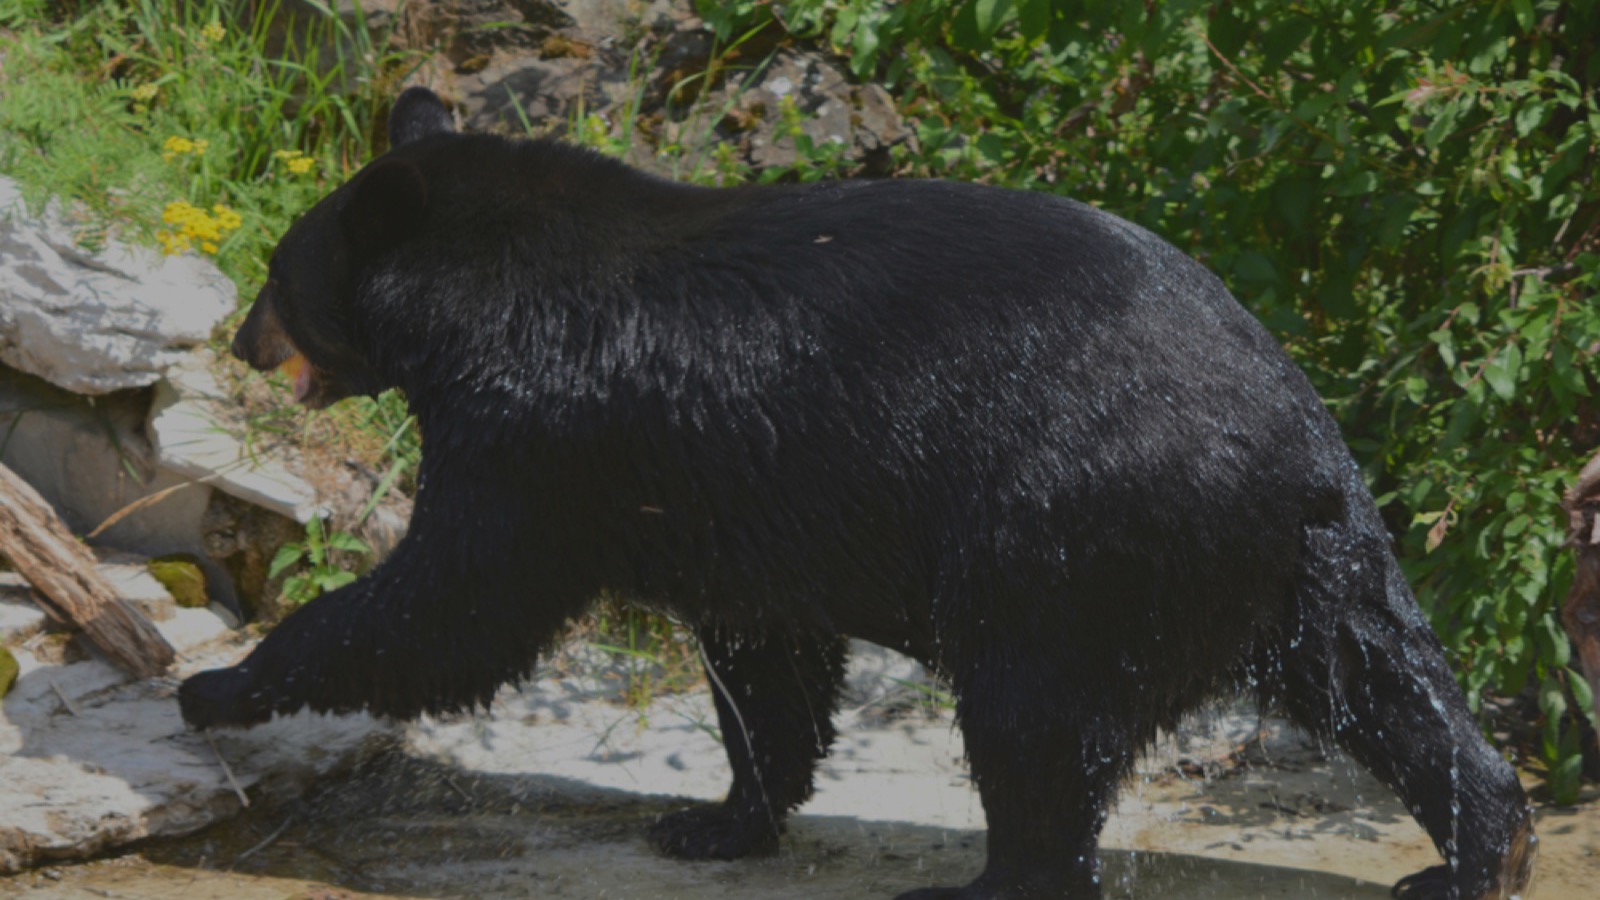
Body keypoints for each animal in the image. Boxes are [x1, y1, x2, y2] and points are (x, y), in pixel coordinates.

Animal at [180, 87, 1534, 899]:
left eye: (278, 276)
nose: (237, 337)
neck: (475, 296)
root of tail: (1294, 451)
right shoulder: (727, 495)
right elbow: (764, 658)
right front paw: (718, 819)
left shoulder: (539, 436)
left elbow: (455, 603)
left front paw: (220, 683)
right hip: (1303, 569)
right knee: (1388, 690)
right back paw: (1479, 850)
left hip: (1070, 543)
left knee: (1034, 726)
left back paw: (985, 880)